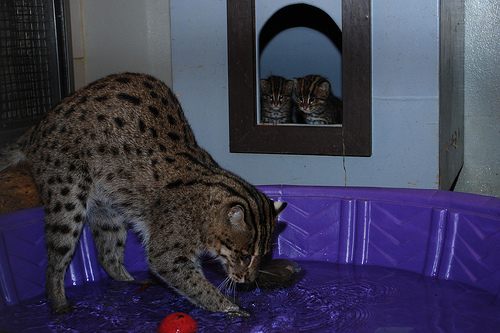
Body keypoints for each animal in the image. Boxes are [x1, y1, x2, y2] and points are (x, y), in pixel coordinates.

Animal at [0, 71, 288, 316]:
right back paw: (58, 301)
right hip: (67, 195)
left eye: (263, 256)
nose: (249, 280)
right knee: (55, 259)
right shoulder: (169, 251)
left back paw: (127, 281)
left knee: (107, 255)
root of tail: (37, 127)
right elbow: (191, 282)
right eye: (244, 256)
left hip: (109, 209)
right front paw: (227, 307)